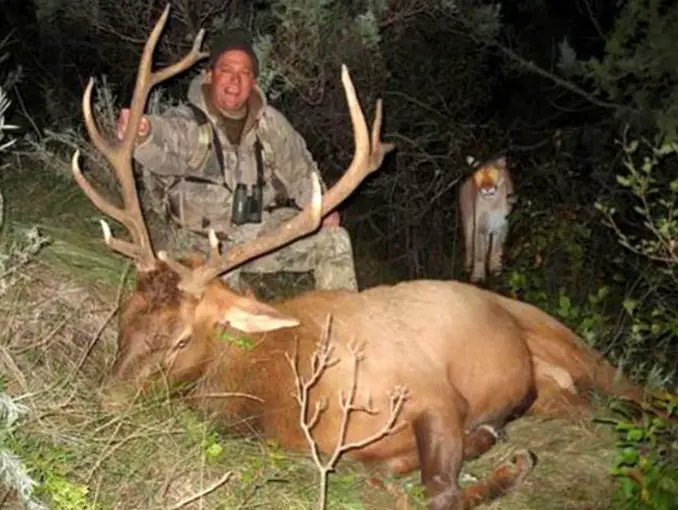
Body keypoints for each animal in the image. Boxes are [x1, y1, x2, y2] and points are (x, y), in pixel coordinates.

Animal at [73, 4, 648, 510]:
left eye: (182, 338)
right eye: (124, 315)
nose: (107, 400)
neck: (287, 394)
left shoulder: (432, 394)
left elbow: (441, 492)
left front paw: (512, 463)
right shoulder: (359, 452)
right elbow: (397, 472)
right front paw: (490, 443)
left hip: (569, 342)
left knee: (635, 390)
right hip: (555, 391)